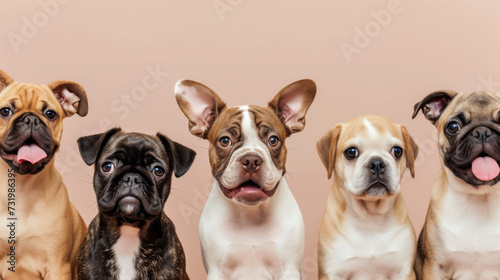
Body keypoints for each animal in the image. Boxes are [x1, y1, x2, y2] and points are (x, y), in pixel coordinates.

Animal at [176, 79, 314, 280]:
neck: (251, 214)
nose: (251, 160)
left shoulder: (288, 269)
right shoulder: (216, 271)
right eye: (225, 141)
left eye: (273, 140)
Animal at [316, 115, 418, 278]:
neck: (370, 217)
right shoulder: (332, 272)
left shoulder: (403, 271)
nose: (377, 163)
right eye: (351, 152)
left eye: (397, 151)